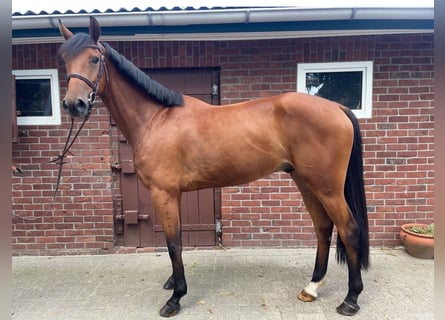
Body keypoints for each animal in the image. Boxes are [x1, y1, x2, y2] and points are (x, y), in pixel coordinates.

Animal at [58, 17, 368, 318]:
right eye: (64, 60)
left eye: (94, 59)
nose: (75, 104)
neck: (156, 119)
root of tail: (337, 107)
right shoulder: (173, 194)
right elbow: (177, 240)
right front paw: (173, 283)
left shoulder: (163, 193)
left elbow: (173, 243)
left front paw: (175, 298)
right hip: (306, 183)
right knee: (323, 227)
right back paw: (312, 287)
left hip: (327, 188)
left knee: (349, 229)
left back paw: (350, 300)